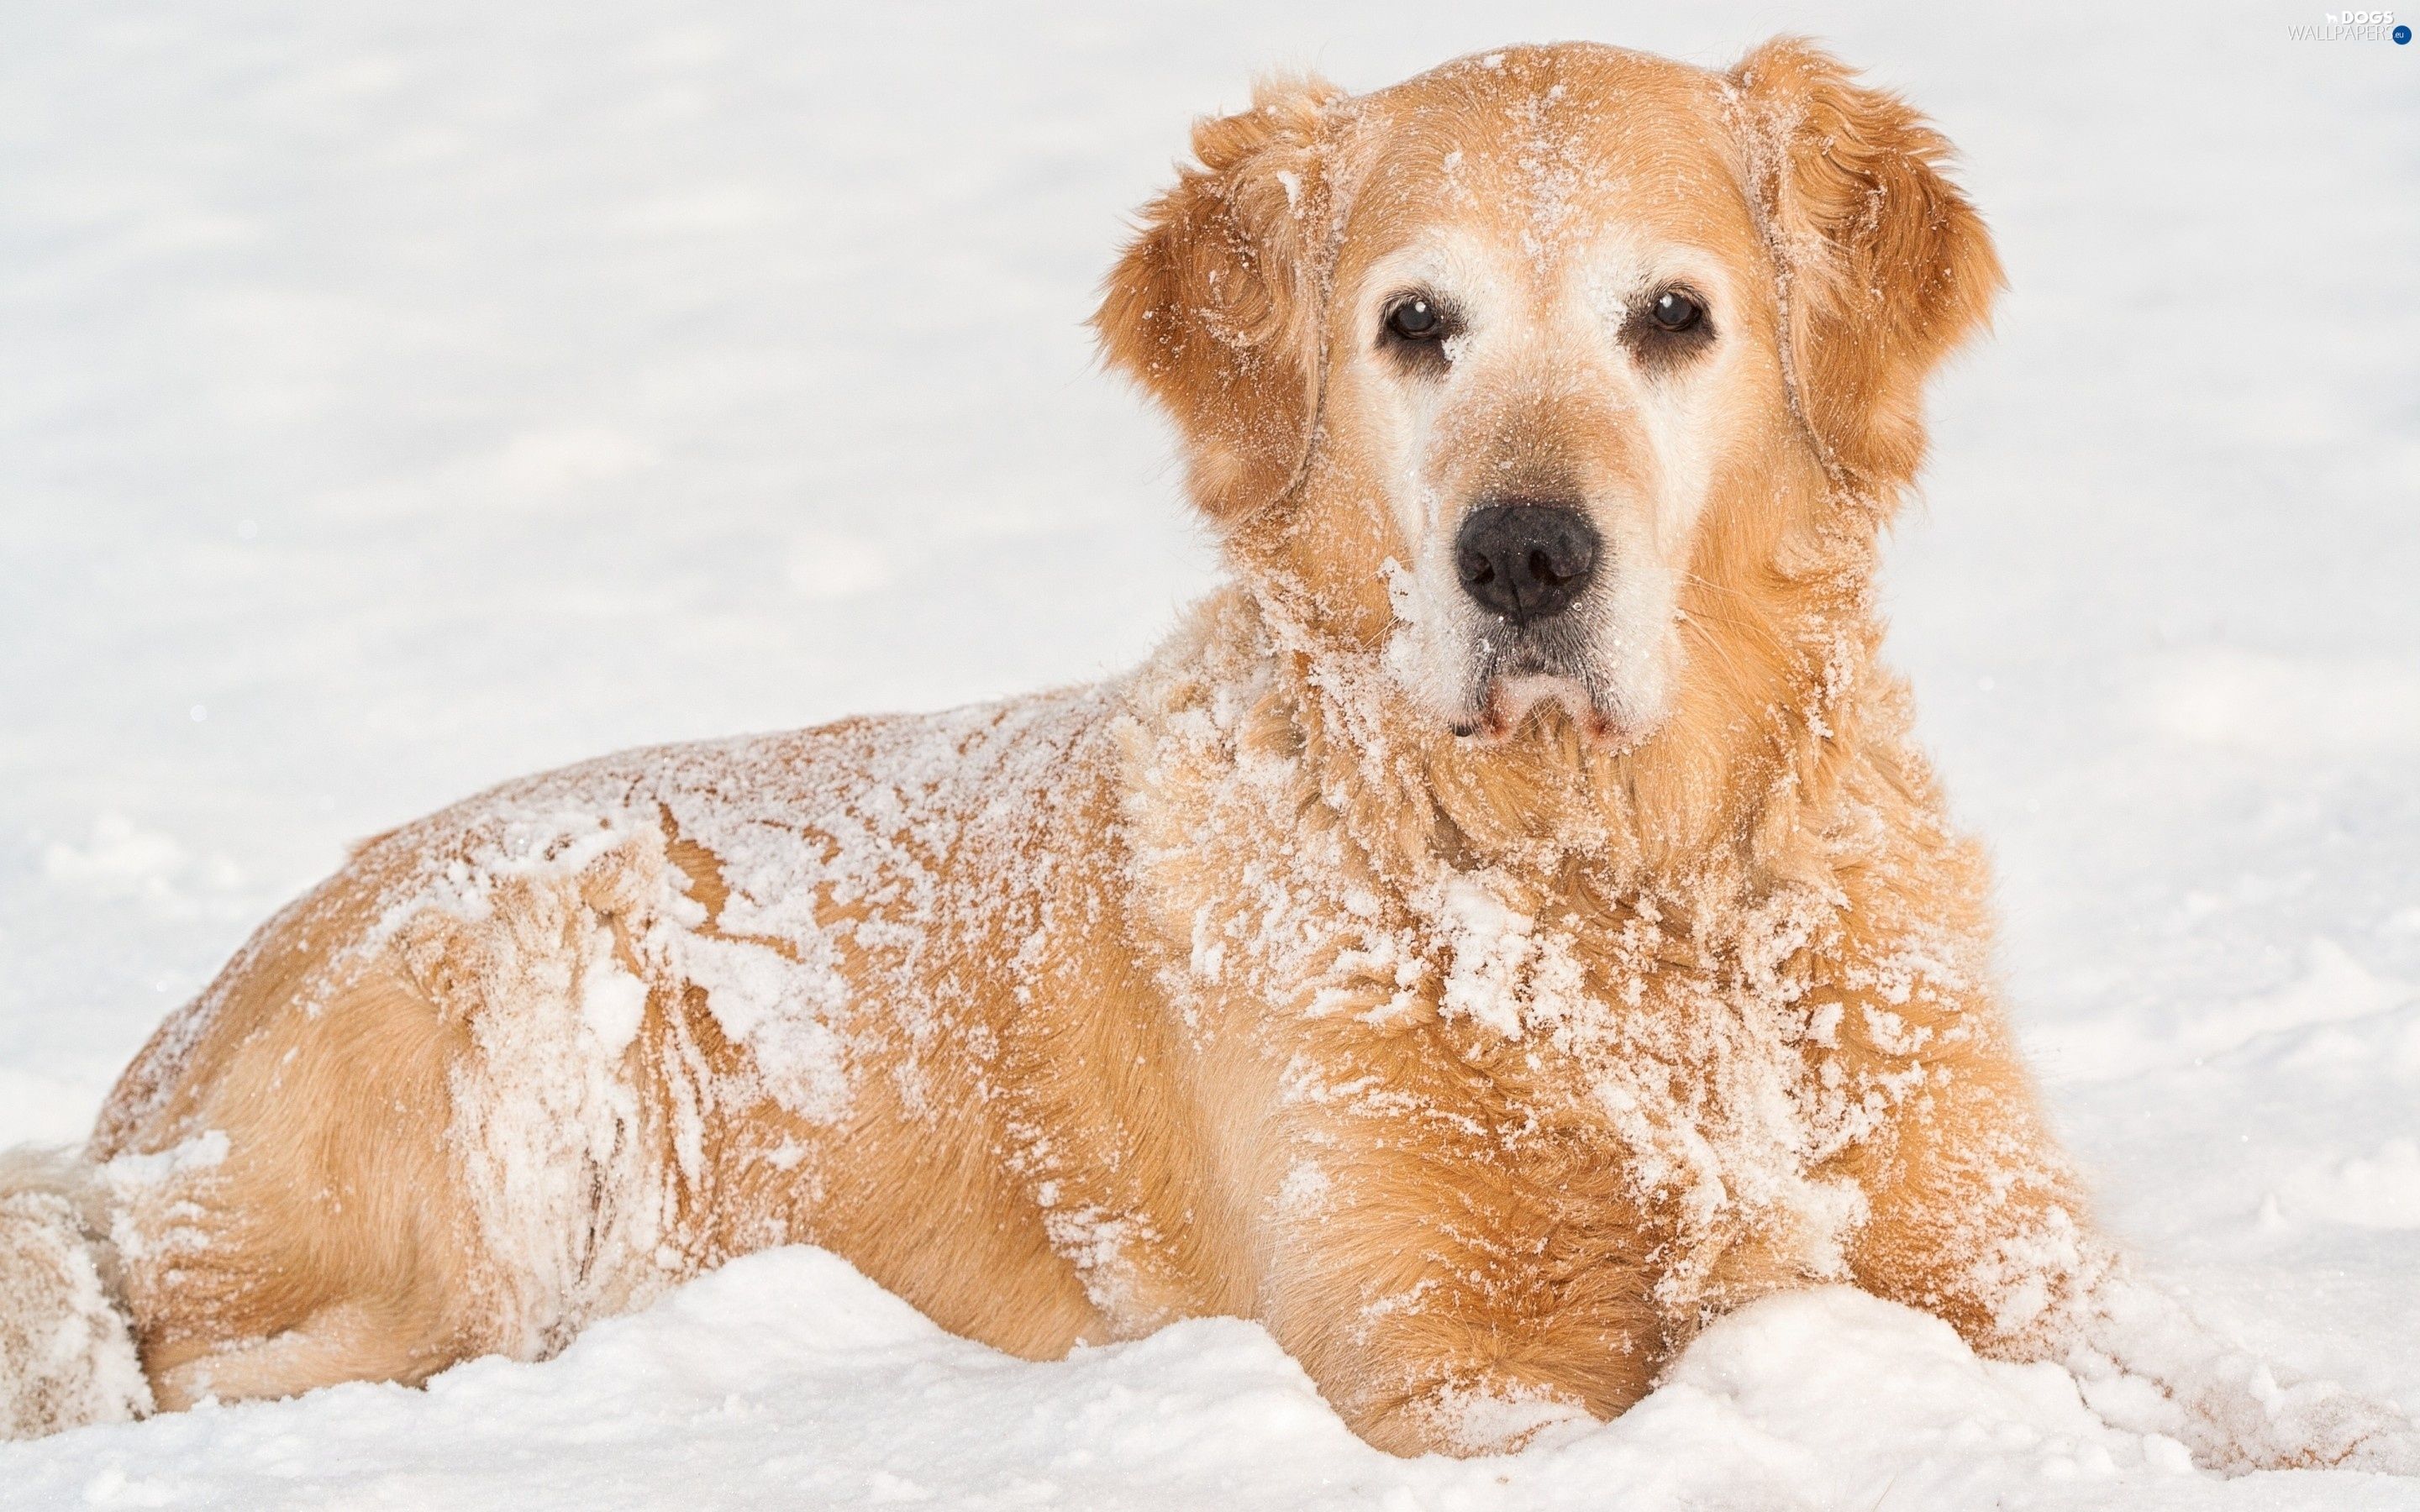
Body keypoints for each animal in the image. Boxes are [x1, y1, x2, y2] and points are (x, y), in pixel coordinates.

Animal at [4, 35, 2420, 1471]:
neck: (1604, 881)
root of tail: (148, 1075)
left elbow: (2241, 1387)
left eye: (1675, 319)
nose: (1523, 553)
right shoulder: (1434, 1352)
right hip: (516, 1042)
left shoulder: (2003, 1244)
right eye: (1415, 326)